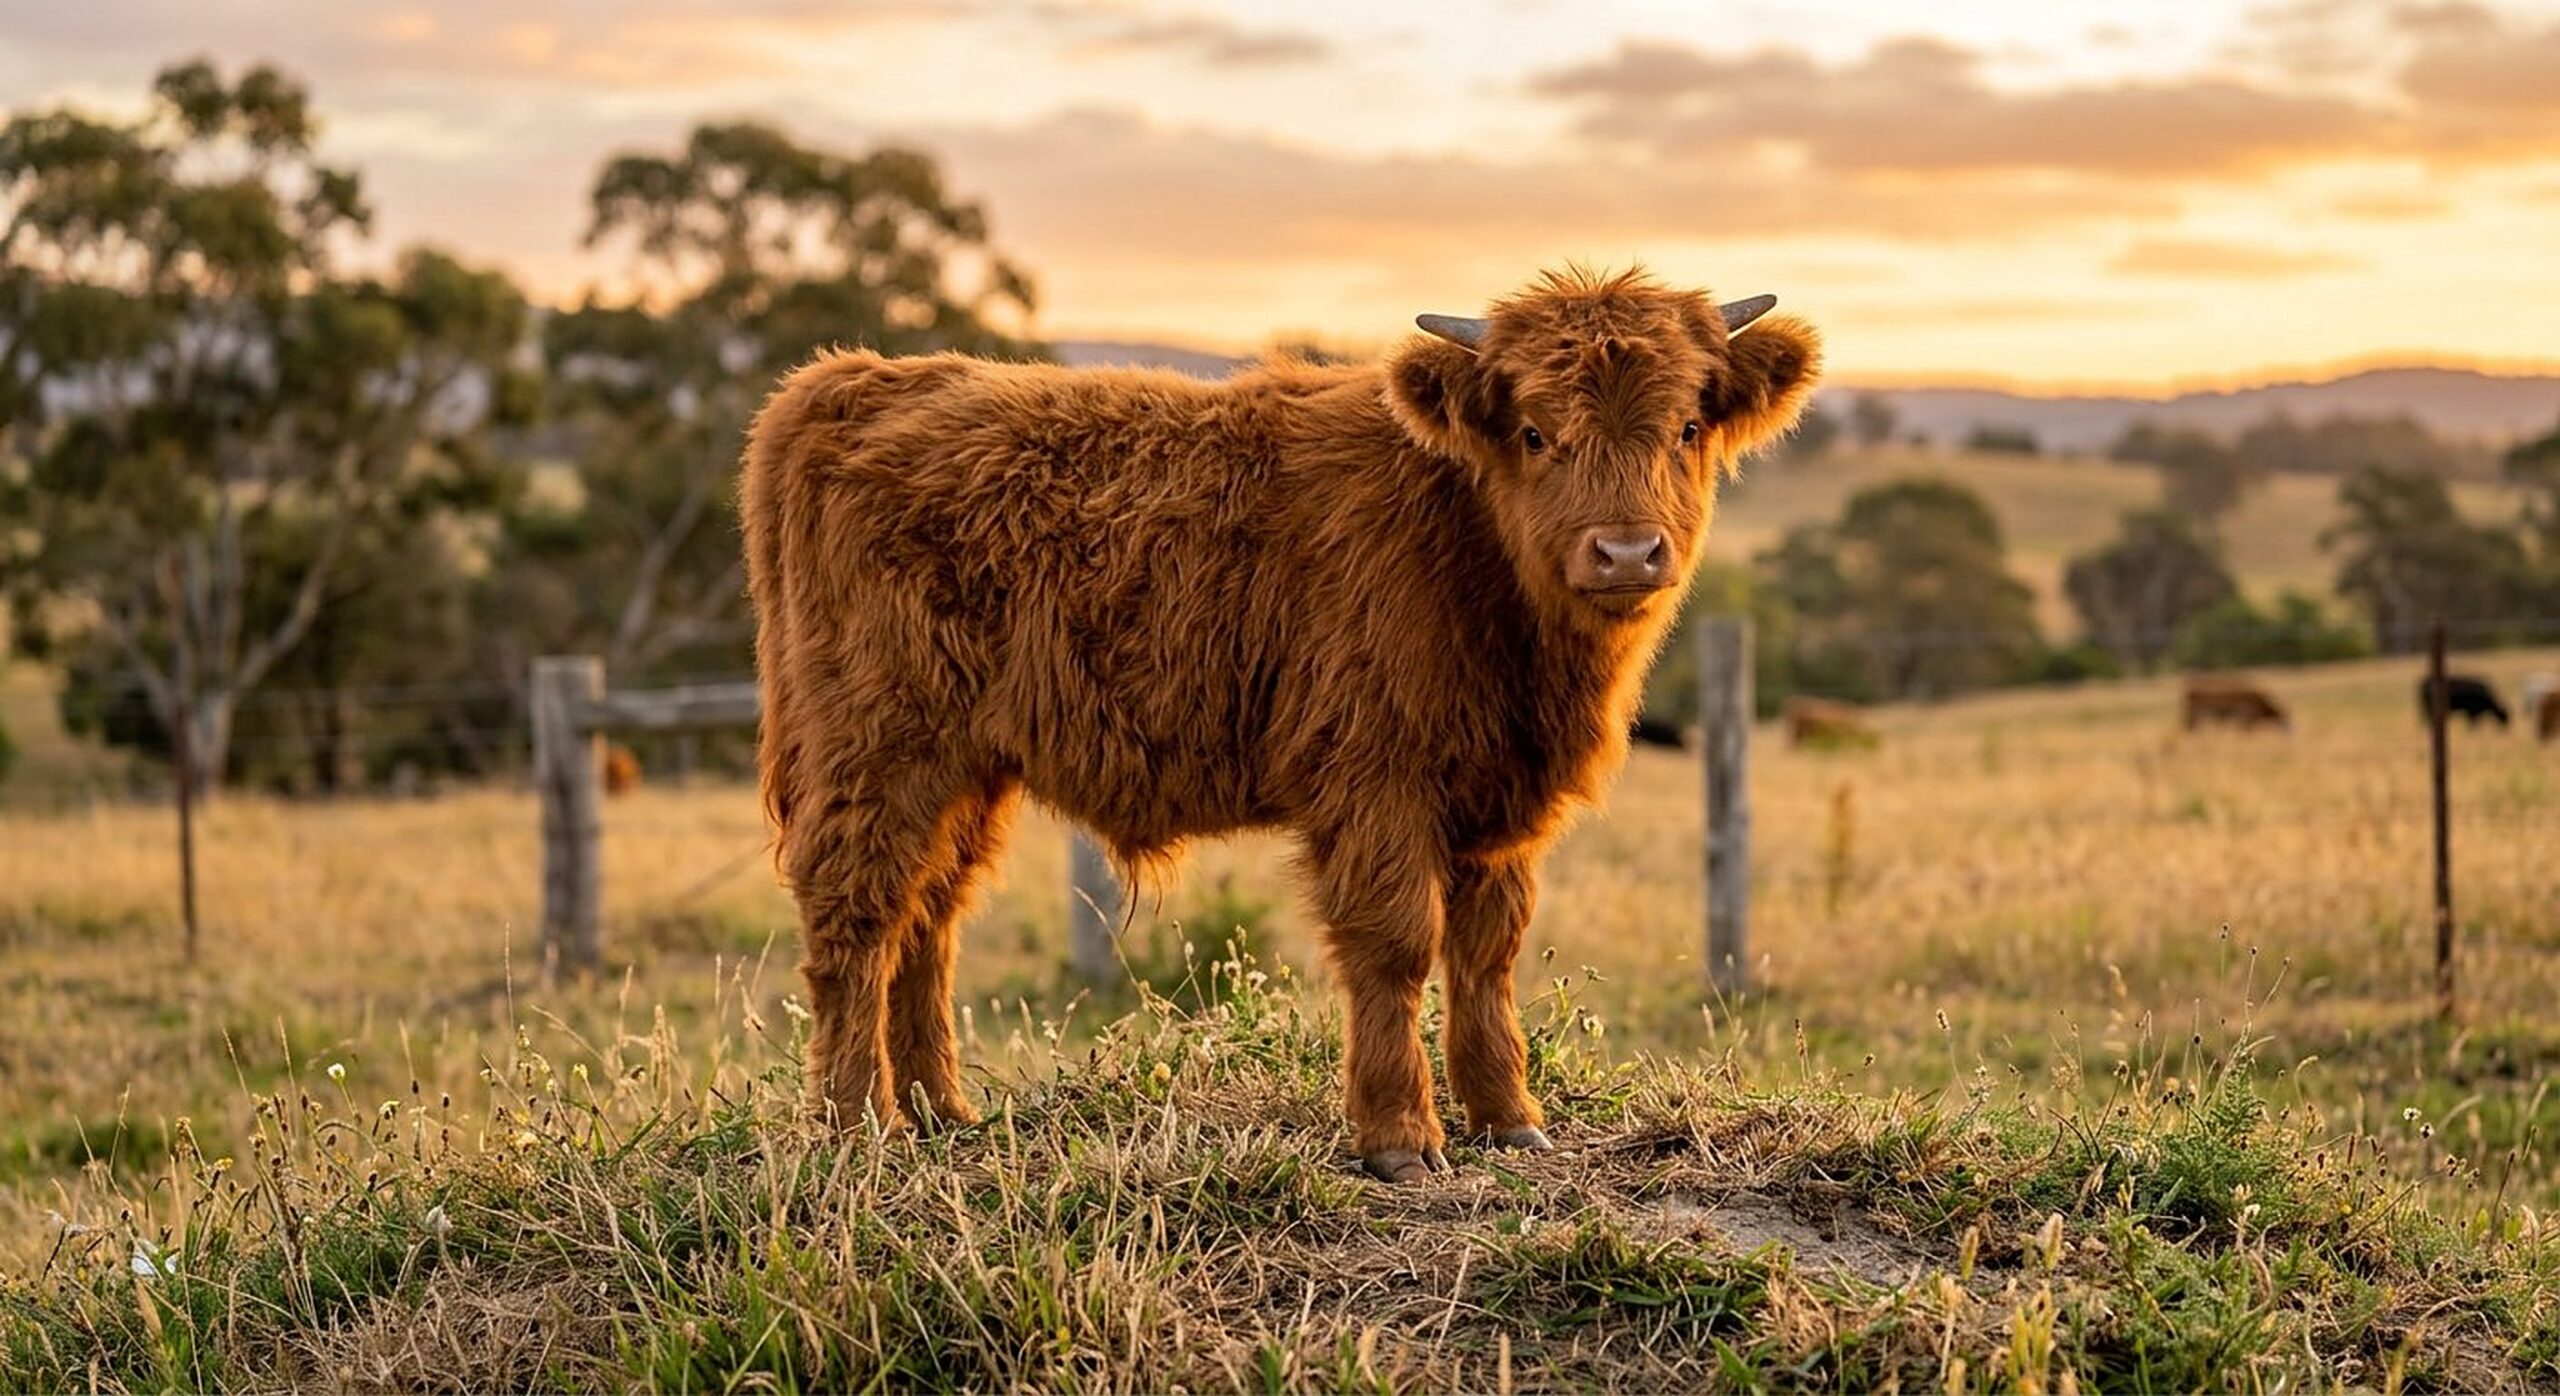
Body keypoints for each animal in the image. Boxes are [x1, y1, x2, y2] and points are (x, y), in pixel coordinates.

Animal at [741, 267, 1820, 1183]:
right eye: (1534, 433)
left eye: (1687, 425)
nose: (1627, 551)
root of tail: (857, 379)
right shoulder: (1375, 780)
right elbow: (1397, 944)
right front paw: (1398, 1137)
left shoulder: (1498, 802)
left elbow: (1487, 953)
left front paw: (1508, 1117)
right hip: (878, 746)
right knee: (856, 914)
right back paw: (858, 1123)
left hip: (967, 768)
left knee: (930, 914)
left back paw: (940, 1112)